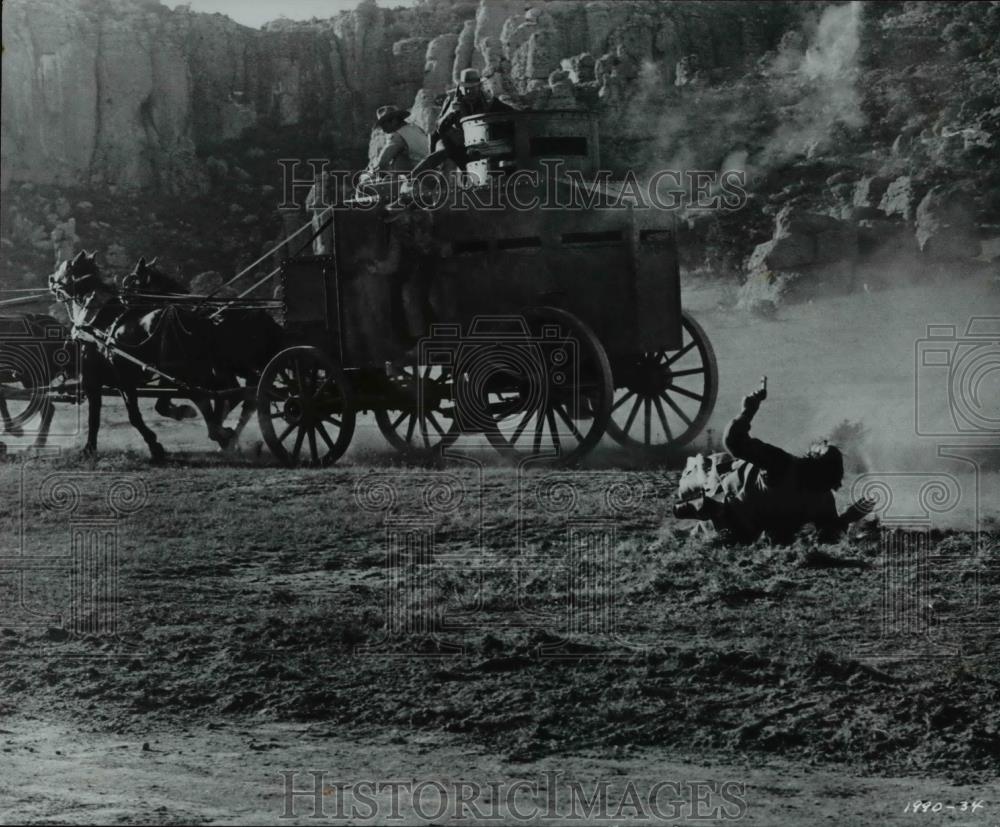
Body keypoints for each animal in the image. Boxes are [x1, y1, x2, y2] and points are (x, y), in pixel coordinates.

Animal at [49, 252, 239, 460]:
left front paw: (91, 447)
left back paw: (219, 431)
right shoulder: (125, 382)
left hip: (183, 369)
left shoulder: (99, 382)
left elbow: (110, 417)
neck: (97, 324)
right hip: (193, 369)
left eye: (65, 267)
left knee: (212, 393)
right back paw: (221, 432)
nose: (51, 279)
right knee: (219, 392)